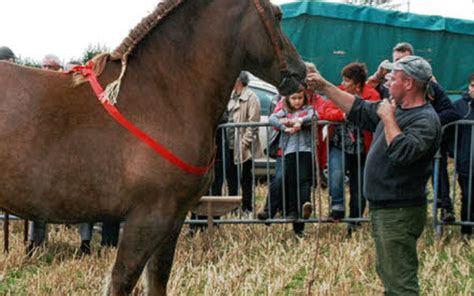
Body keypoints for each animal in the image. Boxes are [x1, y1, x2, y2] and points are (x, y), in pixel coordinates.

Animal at [0, 0, 304, 294]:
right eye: (277, 15)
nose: (303, 72)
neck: (162, 95)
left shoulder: (173, 220)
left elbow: (157, 280)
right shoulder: (148, 218)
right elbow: (122, 281)